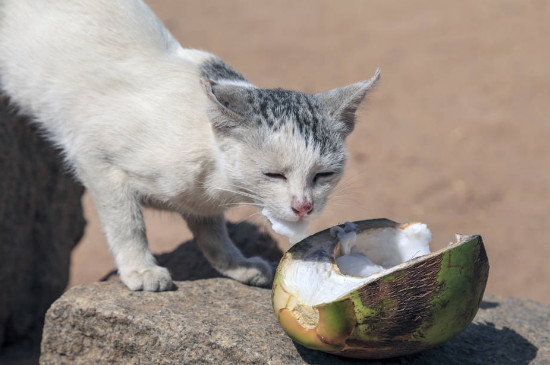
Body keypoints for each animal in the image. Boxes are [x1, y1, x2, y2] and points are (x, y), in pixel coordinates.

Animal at [0, 0, 380, 290]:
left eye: (323, 175)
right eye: (274, 175)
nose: (303, 207)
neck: (215, 181)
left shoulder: (202, 202)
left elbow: (212, 231)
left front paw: (236, 264)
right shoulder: (93, 156)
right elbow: (127, 221)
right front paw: (140, 269)